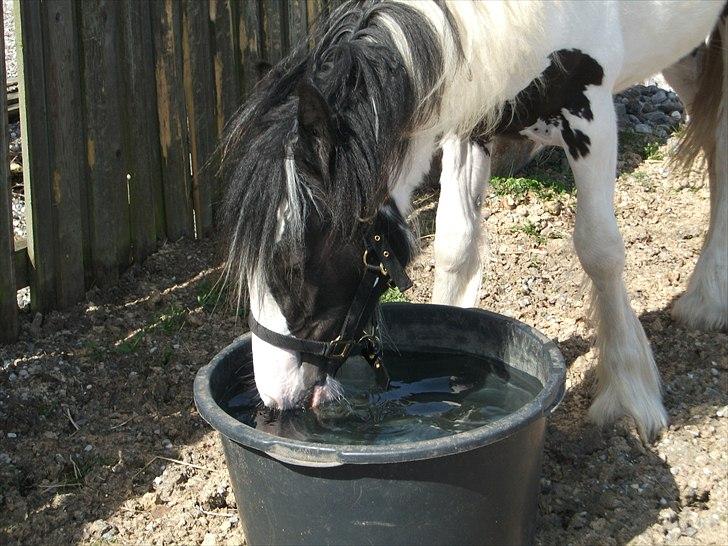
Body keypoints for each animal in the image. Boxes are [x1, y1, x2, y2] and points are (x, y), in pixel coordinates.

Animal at [219, 0, 724, 440]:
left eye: (292, 266)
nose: (274, 395)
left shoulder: (591, 115)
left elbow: (600, 251)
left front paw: (629, 395)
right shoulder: (471, 117)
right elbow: (455, 245)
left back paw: (705, 301)